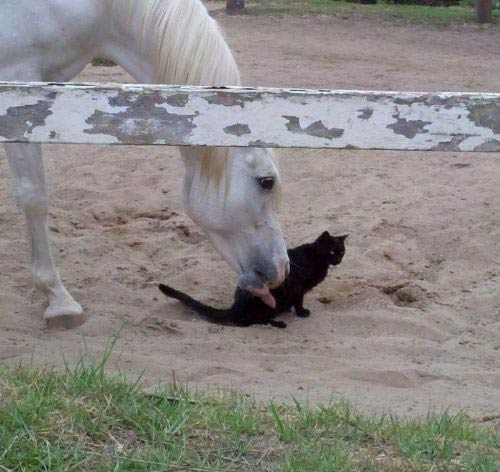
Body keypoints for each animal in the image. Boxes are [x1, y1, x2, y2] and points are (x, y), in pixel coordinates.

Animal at [158, 231, 346, 328]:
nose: (338, 260)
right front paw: (302, 313)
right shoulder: (297, 287)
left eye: (342, 252)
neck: (317, 259)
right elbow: (298, 301)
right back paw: (278, 323)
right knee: (252, 321)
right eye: (332, 251)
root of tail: (234, 308)